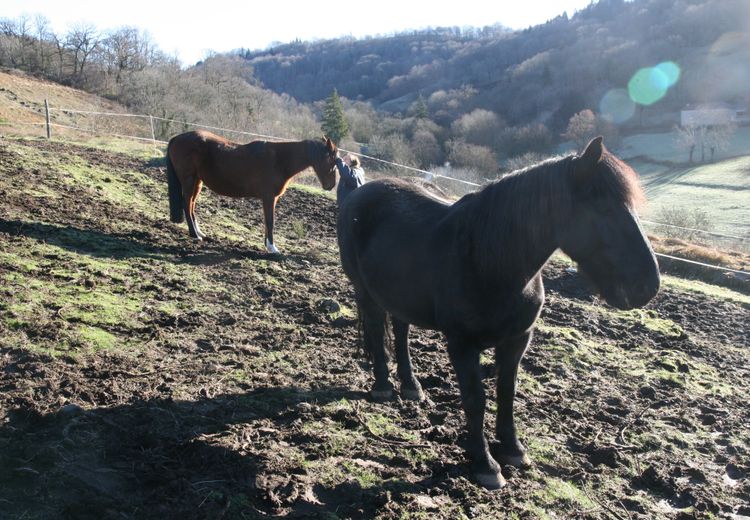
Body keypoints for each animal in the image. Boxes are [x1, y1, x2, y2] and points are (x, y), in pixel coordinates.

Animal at [169, 129, 340, 252]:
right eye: (332, 159)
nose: (330, 185)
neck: (279, 160)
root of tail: (176, 138)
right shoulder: (269, 197)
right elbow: (270, 221)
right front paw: (272, 248)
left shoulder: (271, 199)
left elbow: (267, 221)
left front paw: (267, 245)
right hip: (189, 180)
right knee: (186, 203)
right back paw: (194, 235)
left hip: (197, 182)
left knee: (191, 204)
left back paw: (200, 233)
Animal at [338, 137, 660, 488]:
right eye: (604, 208)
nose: (648, 285)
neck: (490, 261)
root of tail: (361, 193)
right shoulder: (462, 344)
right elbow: (475, 399)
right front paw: (486, 465)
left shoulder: (517, 339)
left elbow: (507, 392)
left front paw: (513, 450)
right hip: (365, 290)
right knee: (375, 329)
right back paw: (383, 386)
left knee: (400, 331)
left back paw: (412, 387)